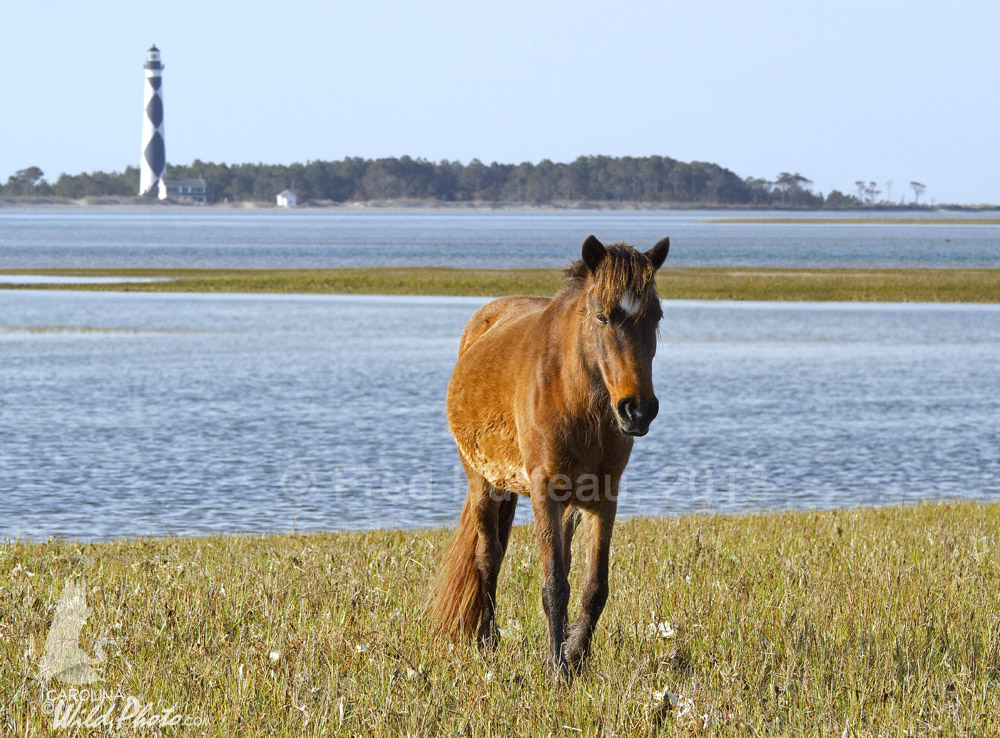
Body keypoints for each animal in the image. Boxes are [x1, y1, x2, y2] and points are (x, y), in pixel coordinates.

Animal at [430, 234, 669, 680]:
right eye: (601, 317)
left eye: (656, 316)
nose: (638, 410)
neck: (577, 401)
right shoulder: (545, 493)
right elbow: (554, 585)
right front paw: (556, 669)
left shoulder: (603, 499)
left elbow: (594, 587)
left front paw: (576, 657)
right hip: (483, 484)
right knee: (488, 558)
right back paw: (487, 641)